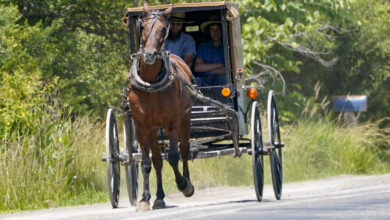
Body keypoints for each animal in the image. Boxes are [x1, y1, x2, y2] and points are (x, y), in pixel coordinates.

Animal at [128, 2, 195, 211]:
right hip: (152, 130)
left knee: (184, 150)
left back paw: (187, 182)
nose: (150, 55)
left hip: (185, 119)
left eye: (163, 29)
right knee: (157, 160)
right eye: (142, 26)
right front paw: (144, 198)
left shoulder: (172, 122)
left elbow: (173, 156)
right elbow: (146, 162)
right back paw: (158, 197)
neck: (150, 82)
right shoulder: (141, 126)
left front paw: (183, 184)